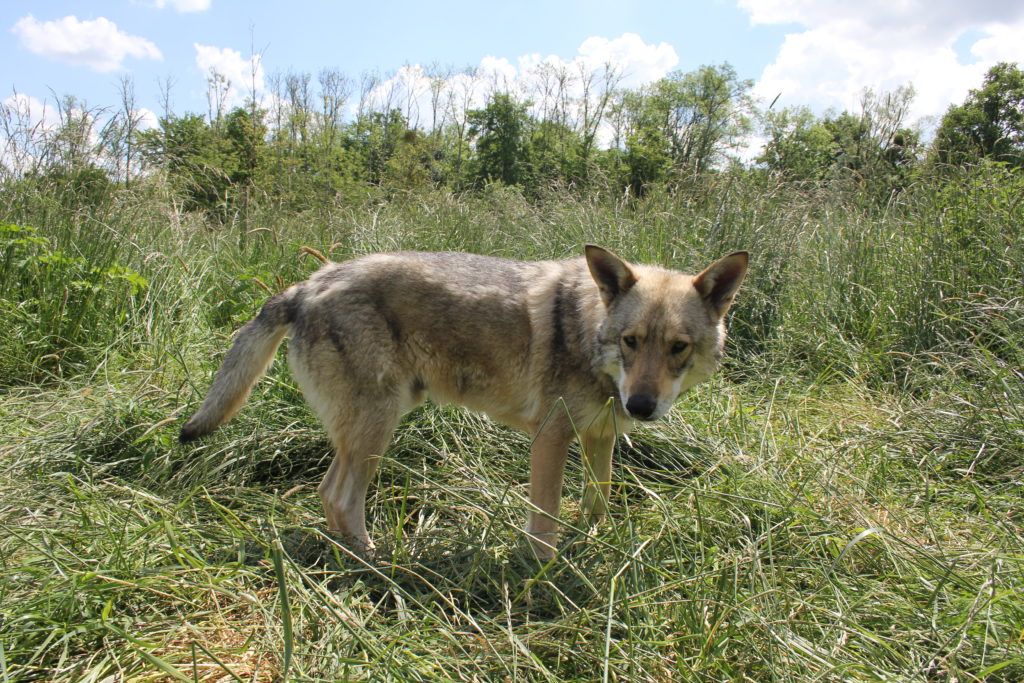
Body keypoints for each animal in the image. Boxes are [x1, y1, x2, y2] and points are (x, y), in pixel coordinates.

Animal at [179, 245, 748, 559]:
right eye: (631, 341)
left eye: (678, 347)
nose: (641, 406)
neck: (589, 337)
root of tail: (307, 284)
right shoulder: (551, 439)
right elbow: (544, 524)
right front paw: (545, 577)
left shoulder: (600, 437)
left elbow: (598, 504)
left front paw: (592, 547)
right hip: (377, 429)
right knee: (340, 497)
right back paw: (375, 563)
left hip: (367, 431)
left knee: (326, 494)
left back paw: (346, 556)